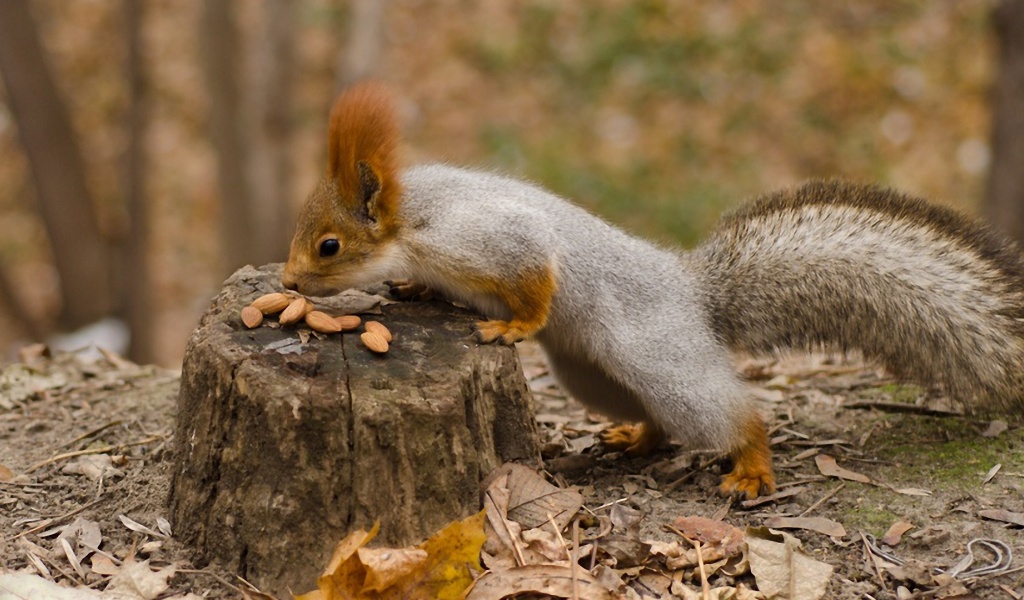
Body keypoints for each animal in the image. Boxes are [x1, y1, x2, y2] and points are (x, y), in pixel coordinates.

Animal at [284, 81, 1024, 497]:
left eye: (329, 246)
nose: (289, 280)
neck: (411, 216)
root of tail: (694, 294)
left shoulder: (484, 237)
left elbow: (536, 274)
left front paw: (514, 325)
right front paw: (413, 291)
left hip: (660, 359)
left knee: (730, 414)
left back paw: (751, 467)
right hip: (591, 375)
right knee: (659, 422)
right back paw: (635, 440)